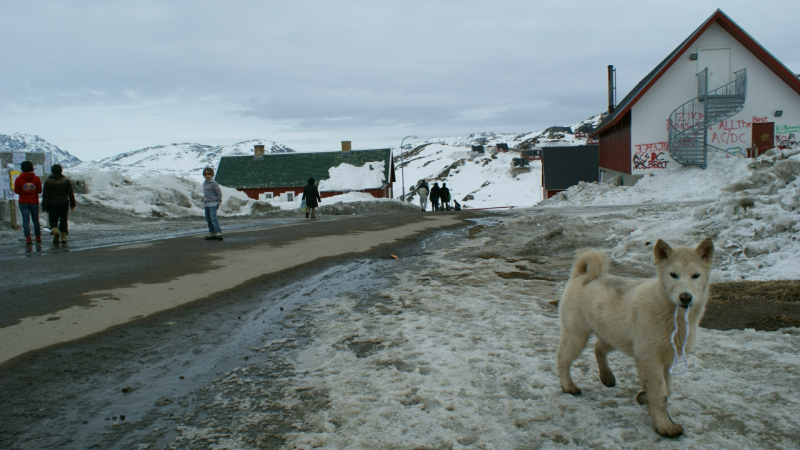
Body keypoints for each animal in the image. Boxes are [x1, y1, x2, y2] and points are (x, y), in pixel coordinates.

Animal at [556, 239, 712, 436]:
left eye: (696, 275)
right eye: (673, 275)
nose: (685, 297)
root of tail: (580, 275)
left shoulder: (666, 360)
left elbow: (667, 389)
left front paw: (644, 396)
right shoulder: (649, 359)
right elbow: (660, 394)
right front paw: (665, 426)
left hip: (613, 336)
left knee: (598, 347)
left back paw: (607, 376)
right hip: (577, 336)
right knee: (563, 359)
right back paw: (568, 385)